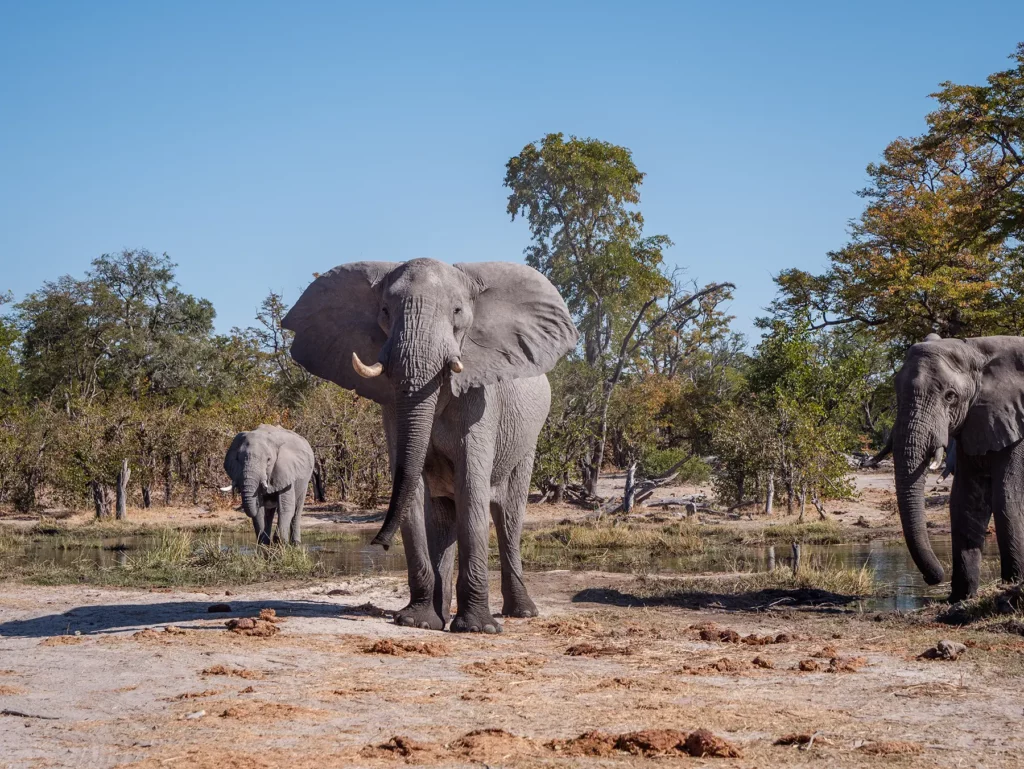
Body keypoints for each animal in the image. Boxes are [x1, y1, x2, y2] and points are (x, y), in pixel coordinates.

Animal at [282, 259, 577, 633]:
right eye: (384, 311)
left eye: (457, 311)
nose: (379, 542)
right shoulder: (391, 407)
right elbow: (413, 487)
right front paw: (416, 621)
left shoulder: (482, 404)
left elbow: (472, 487)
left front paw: (477, 629)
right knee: (443, 519)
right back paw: (441, 615)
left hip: (528, 439)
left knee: (508, 514)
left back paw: (521, 613)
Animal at [893, 333, 1024, 601]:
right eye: (896, 391)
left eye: (950, 396)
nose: (931, 579)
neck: (977, 350)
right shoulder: (977, 420)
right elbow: (965, 500)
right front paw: (960, 598)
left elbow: (1007, 497)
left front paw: (1012, 584)